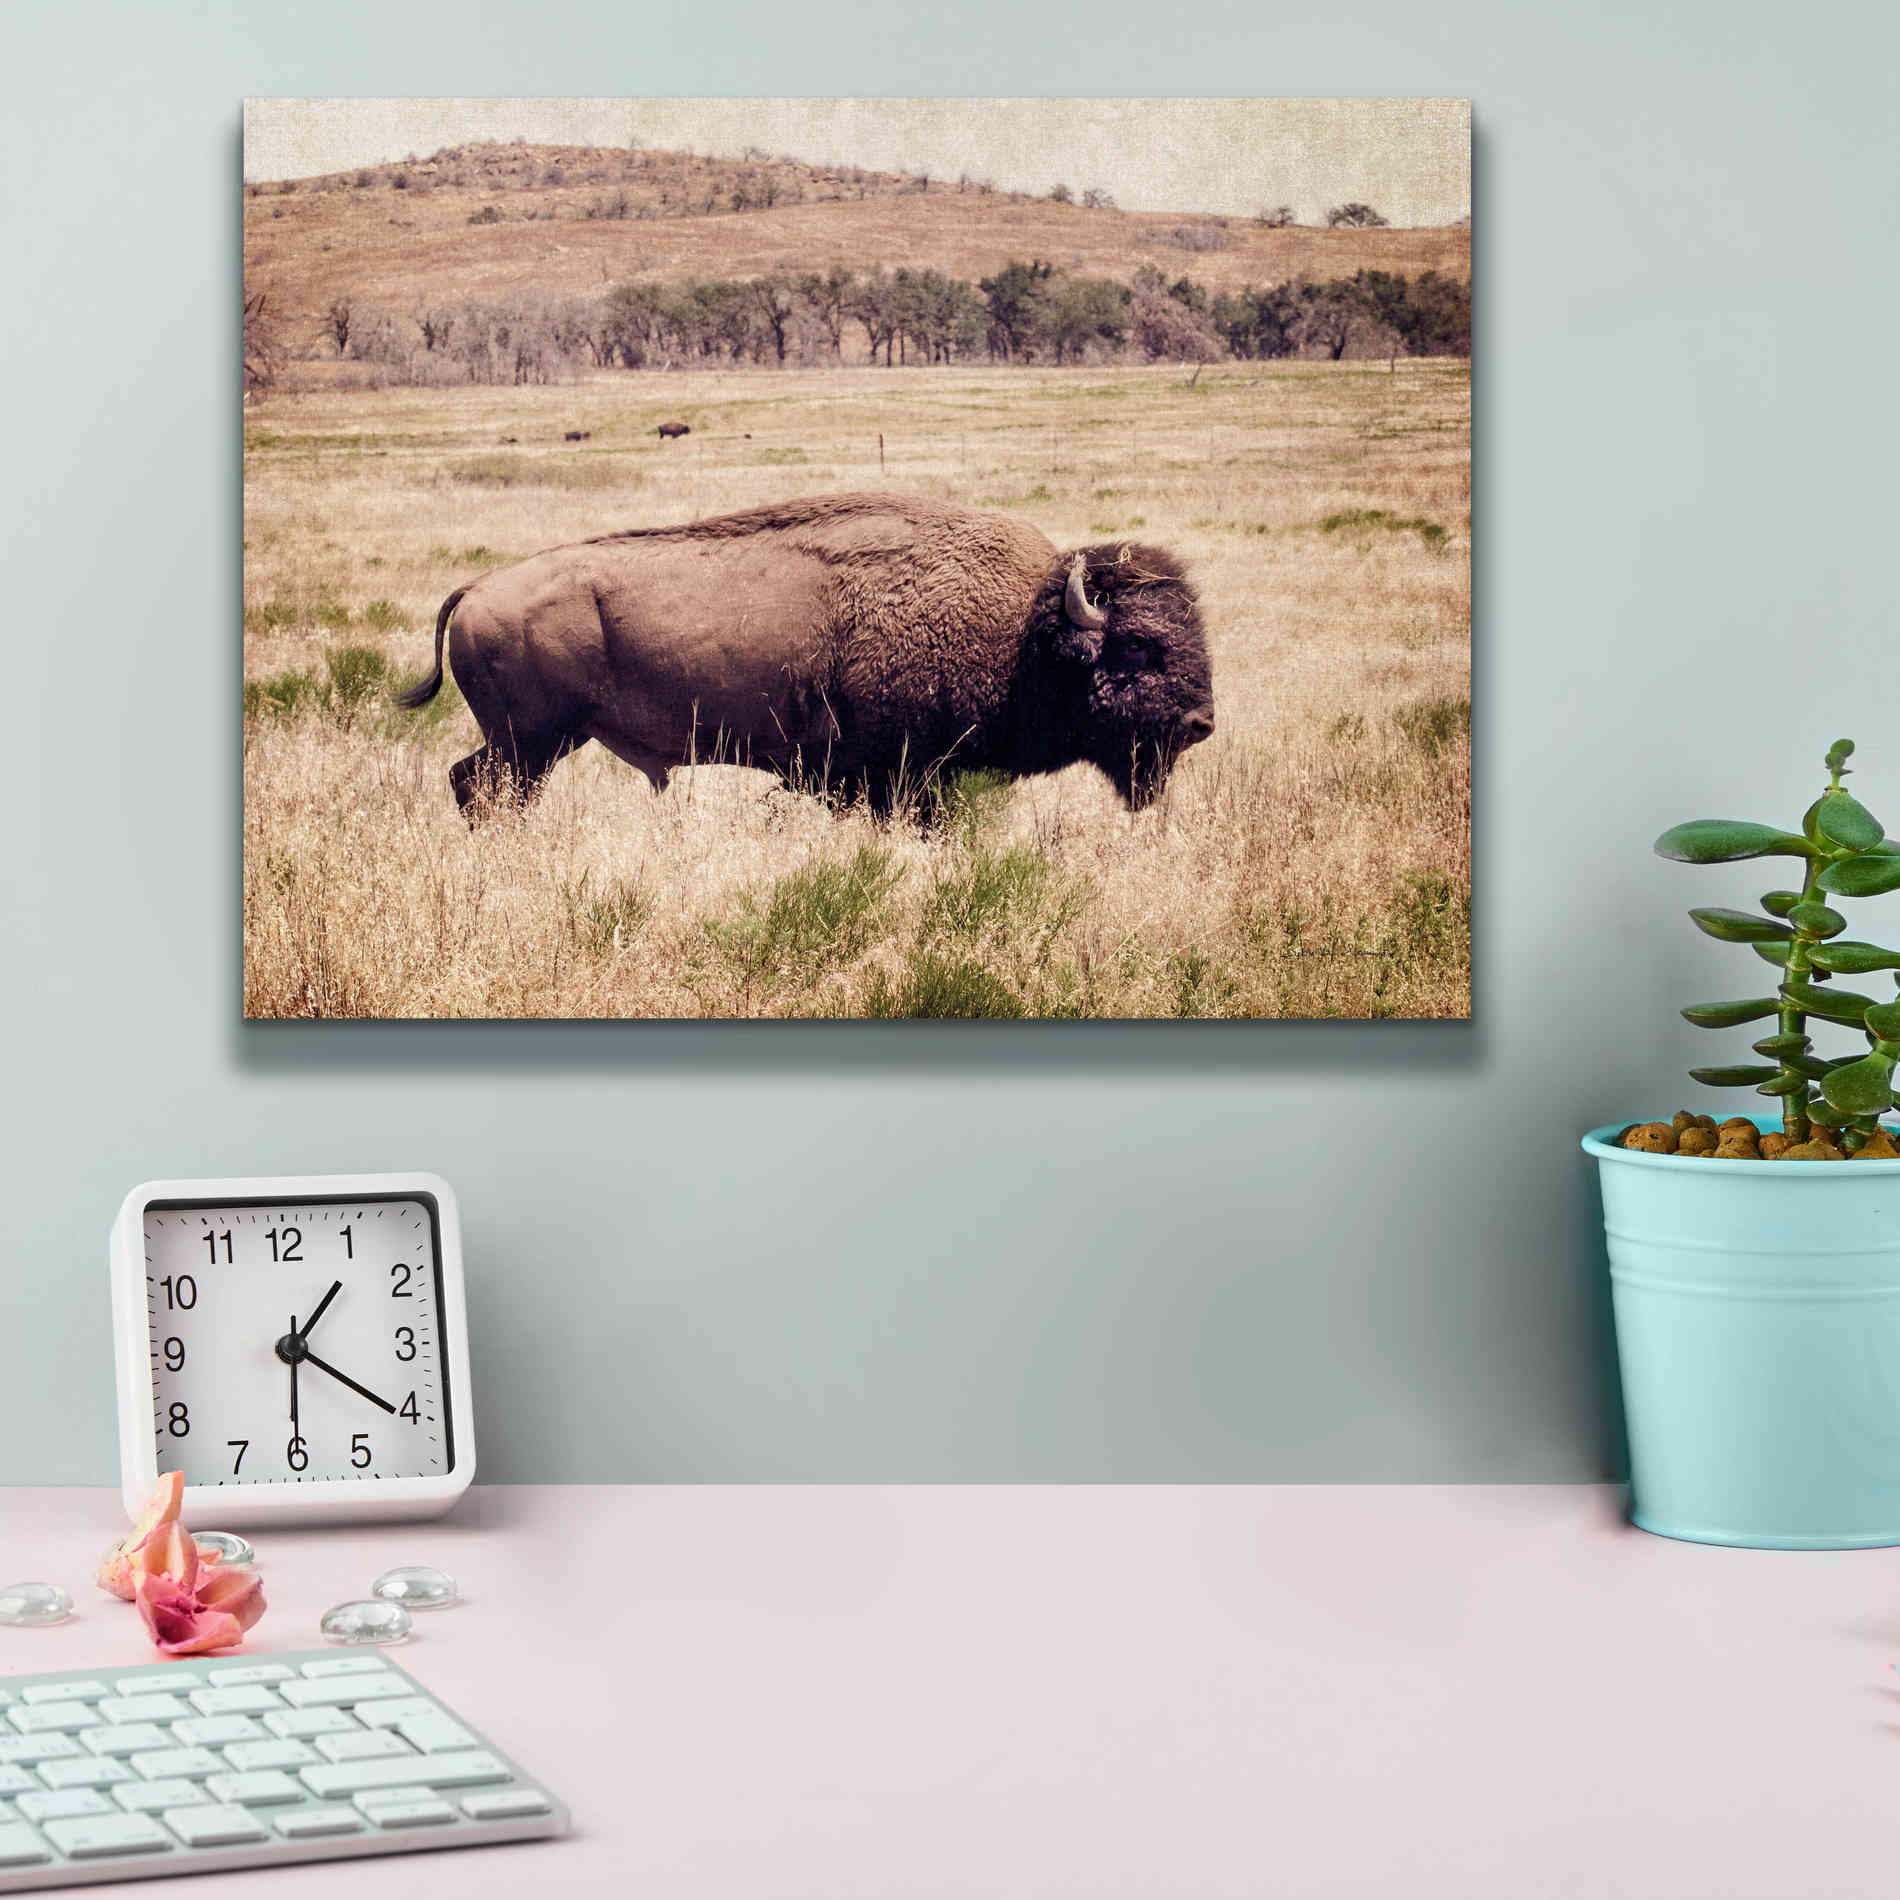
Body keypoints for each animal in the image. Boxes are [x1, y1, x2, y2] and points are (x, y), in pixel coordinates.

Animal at [398, 492, 1213, 819]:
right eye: (1138, 646)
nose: (1201, 722)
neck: (1021, 632)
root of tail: (478, 588)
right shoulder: (900, 777)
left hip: (532, 744)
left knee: (469, 784)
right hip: (531, 743)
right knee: (483, 790)